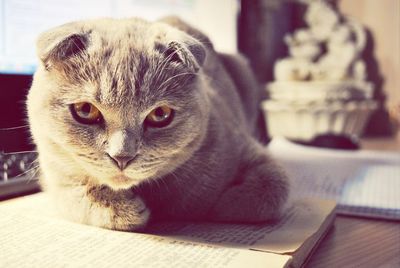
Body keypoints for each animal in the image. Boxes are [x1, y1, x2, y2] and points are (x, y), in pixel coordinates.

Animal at [26, 16, 290, 230]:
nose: (122, 157)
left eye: (160, 114)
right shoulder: (55, 177)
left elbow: (273, 188)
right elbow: (77, 195)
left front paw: (220, 205)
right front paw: (127, 210)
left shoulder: (245, 148)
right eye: (85, 110)